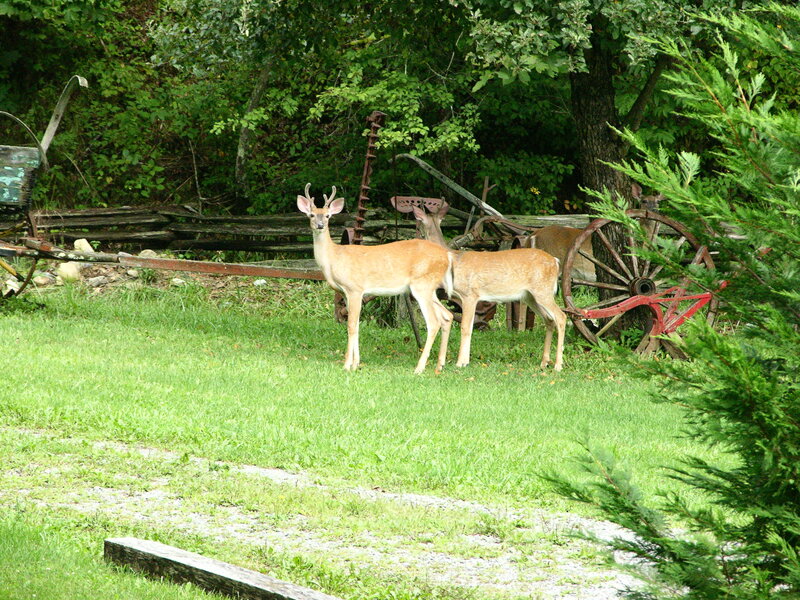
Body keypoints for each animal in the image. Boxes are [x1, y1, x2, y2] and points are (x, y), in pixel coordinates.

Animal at [298, 184, 454, 374]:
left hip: (422, 285)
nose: (320, 225)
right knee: (447, 315)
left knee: (433, 322)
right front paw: (356, 363)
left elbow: (351, 326)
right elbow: (357, 325)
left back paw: (419, 368)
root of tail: (447, 256)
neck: (334, 258)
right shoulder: (347, 293)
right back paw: (440, 365)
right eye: (311, 215)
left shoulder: (354, 288)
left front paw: (347, 365)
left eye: (328, 216)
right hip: (429, 288)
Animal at [412, 203, 566, 371]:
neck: (453, 259)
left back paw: (558, 365)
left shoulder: (470, 294)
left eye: (418, 226)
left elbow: (465, 327)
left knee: (561, 317)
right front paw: (465, 361)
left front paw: (461, 363)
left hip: (542, 290)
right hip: (530, 296)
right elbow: (469, 326)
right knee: (549, 319)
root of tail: (555, 262)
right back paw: (544, 362)